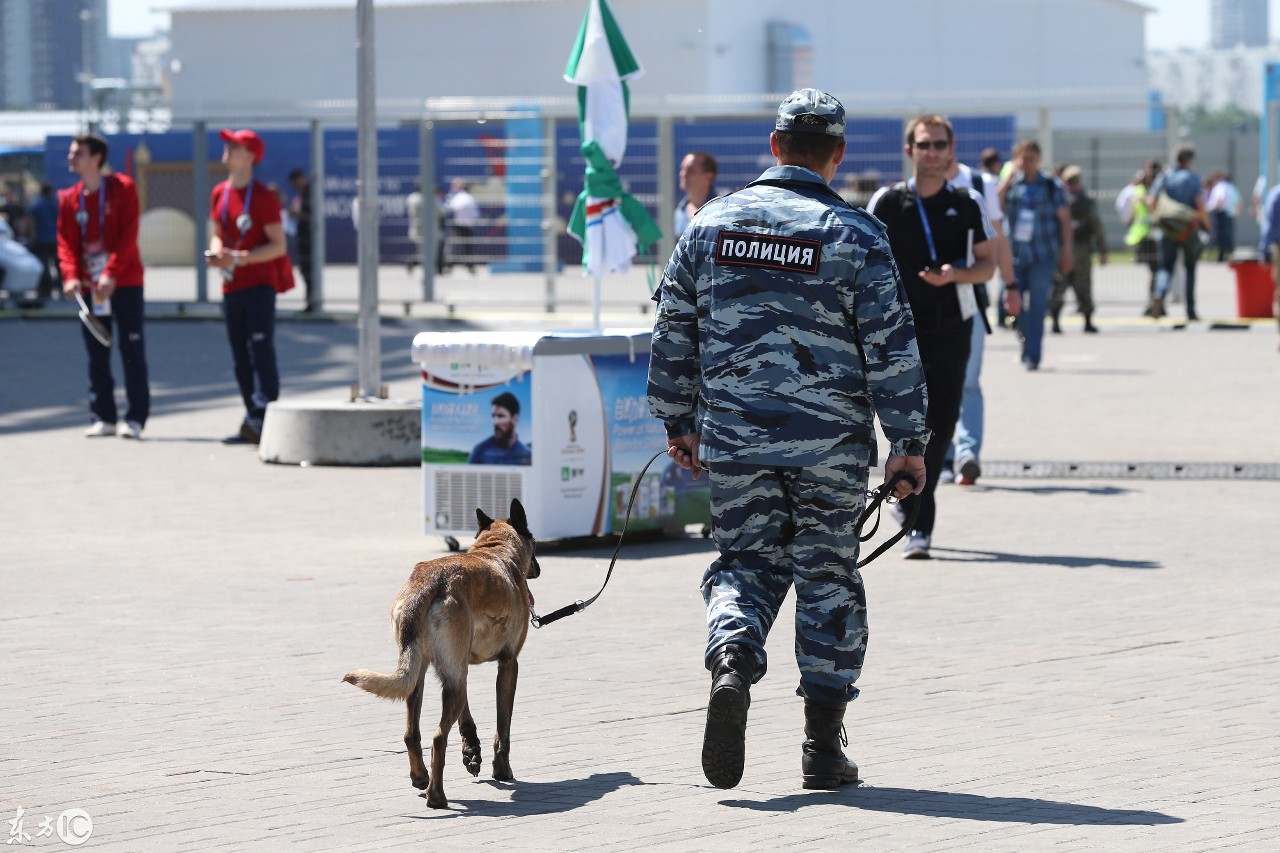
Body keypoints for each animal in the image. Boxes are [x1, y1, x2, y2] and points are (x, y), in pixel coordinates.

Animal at [343, 494, 537, 809]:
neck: (495, 552)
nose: (538, 569)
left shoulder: (459, 668)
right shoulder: (509, 665)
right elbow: (503, 728)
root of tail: (427, 583)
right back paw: (436, 796)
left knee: (412, 734)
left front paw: (471, 751)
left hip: (420, 679)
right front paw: (502, 770)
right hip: (449, 682)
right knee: (437, 738)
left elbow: (467, 718)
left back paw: (421, 777)